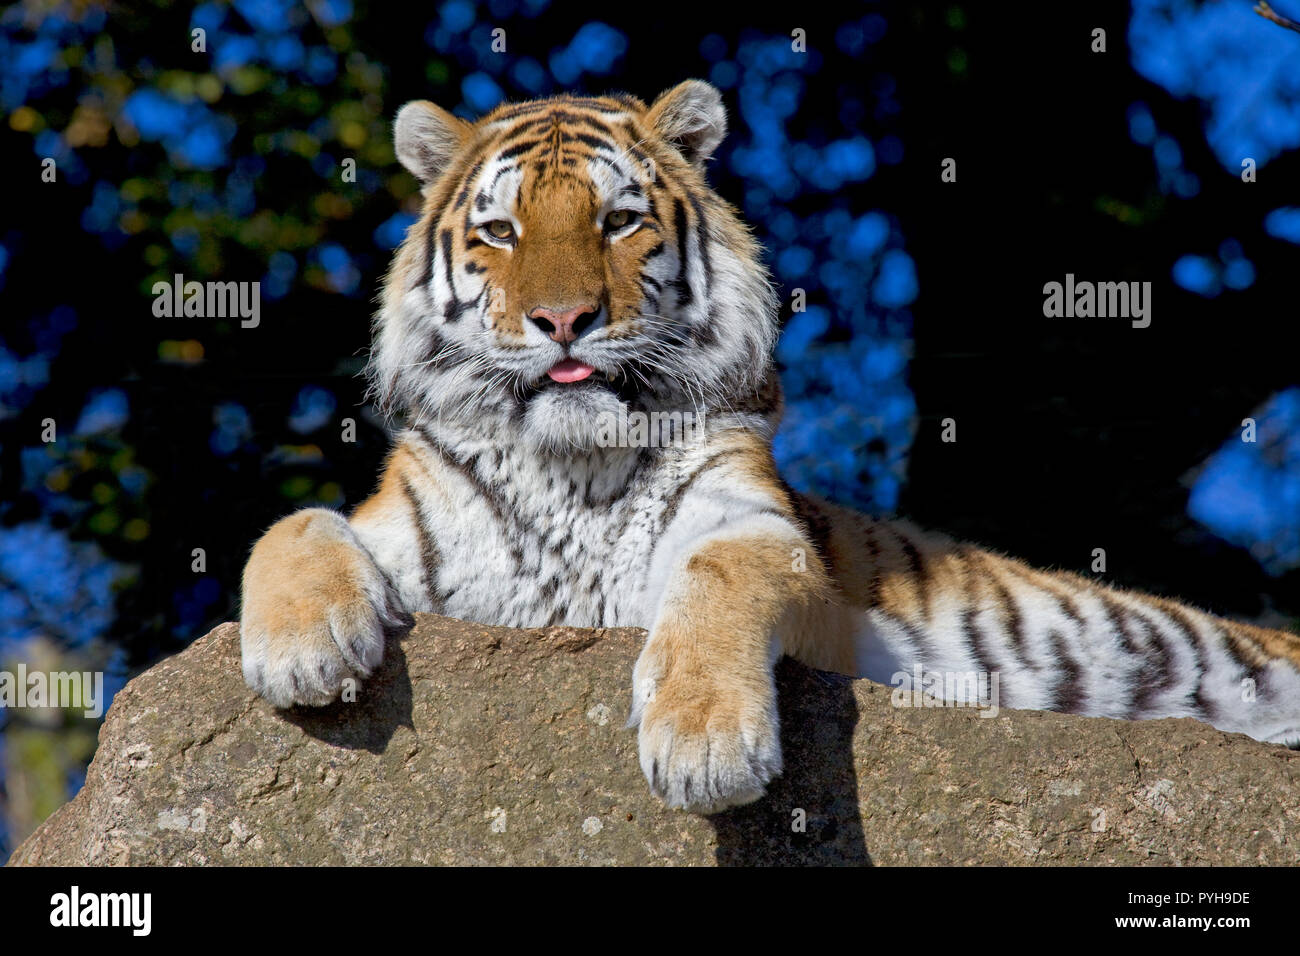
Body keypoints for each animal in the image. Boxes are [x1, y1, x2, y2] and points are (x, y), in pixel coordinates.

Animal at [239, 80, 1300, 814]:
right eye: (499, 231)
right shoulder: (407, 526)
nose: (564, 319)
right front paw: (305, 653)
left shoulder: (766, 540)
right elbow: (291, 525)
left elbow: (715, 578)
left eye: (619, 221)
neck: (574, 466)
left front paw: (705, 746)